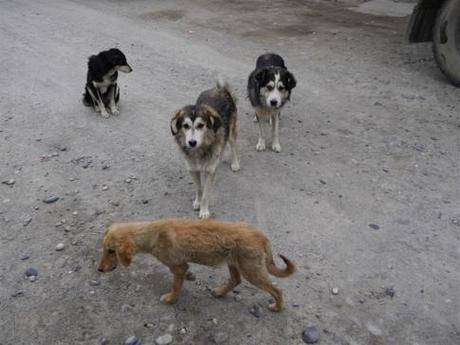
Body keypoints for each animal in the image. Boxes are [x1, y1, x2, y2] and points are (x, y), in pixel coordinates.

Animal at [99, 219, 296, 310]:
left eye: (111, 251)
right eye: (104, 249)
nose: (99, 269)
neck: (153, 234)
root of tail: (262, 236)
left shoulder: (177, 266)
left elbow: (176, 286)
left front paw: (171, 299)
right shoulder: (182, 265)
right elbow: (183, 276)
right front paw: (189, 277)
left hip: (252, 270)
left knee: (277, 290)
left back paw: (277, 307)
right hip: (234, 263)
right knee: (235, 280)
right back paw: (219, 292)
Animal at [170, 78, 241, 218]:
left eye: (201, 125)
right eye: (185, 126)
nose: (192, 142)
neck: (200, 149)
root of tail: (219, 89)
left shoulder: (209, 171)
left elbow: (206, 194)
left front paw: (204, 211)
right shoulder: (192, 169)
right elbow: (199, 188)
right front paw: (197, 202)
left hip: (231, 131)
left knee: (233, 146)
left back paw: (235, 163)